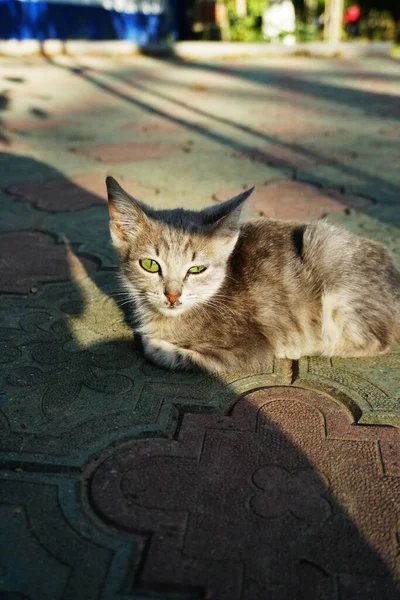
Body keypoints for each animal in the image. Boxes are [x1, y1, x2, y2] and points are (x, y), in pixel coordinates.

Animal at [105, 176, 400, 376]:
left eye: (197, 269)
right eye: (150, 265)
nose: (173, 296)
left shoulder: (249, 347)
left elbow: (184, 357)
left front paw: (156, 345)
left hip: (326, 248)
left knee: (376, 341)